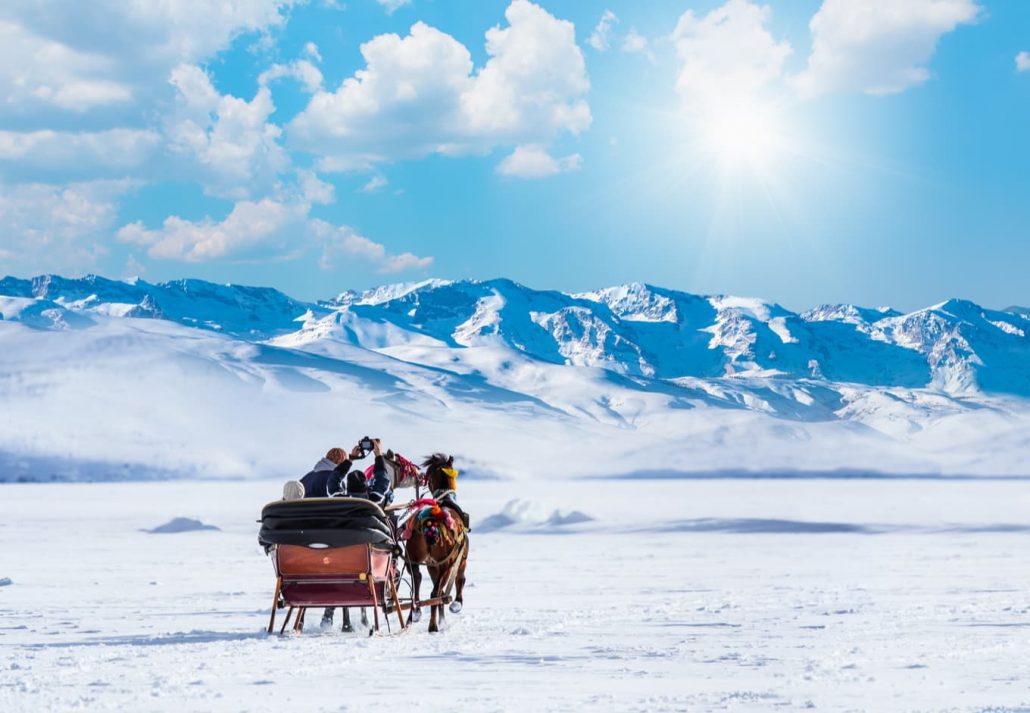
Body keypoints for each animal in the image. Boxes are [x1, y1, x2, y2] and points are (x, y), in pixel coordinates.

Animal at [403, 453, 469, 630]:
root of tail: (429, 522)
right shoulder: (459, 559)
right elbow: (460, 579)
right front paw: (456, 604)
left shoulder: (432, 565)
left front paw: (441, 617)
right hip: (447, 562)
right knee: (436, 593)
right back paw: (433, 625)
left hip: (413, 557)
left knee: (417, 580)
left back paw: (416, 611)